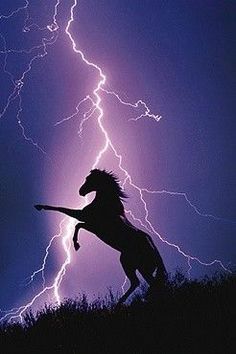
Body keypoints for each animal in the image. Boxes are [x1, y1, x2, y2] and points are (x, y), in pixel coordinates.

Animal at [35, 170, 168, 302]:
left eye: (90, 179)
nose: (81, 191)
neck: (106, 205)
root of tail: (155, 251)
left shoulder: (88, 221)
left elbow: (70, 218)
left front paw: (76, 245)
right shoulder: (90, 225)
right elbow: (77, 224)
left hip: (134, 265)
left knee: (142, 283)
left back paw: (121, 302)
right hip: (137, 266)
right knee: (142, 283)